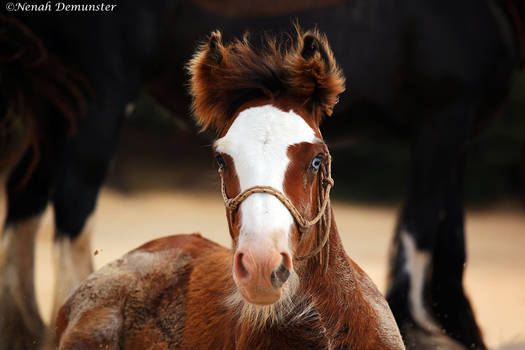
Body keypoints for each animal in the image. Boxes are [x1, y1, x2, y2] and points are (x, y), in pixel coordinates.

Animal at [2, 1, 520, 348]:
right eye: (221, 159)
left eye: (317, 158)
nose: (261, 266)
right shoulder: (443, 120)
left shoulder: (451, 131)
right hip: (96, 94)